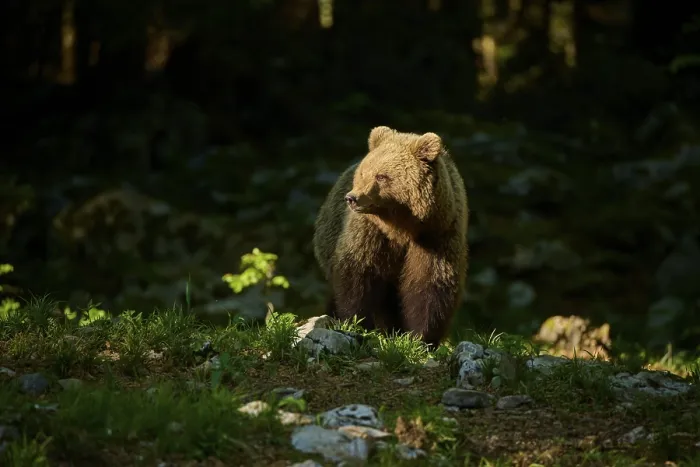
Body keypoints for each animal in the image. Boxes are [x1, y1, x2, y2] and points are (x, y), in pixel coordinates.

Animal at [313, 125, 469, 348]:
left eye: (381, 176)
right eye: (364, 172)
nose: (352, 198)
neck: (403, 227)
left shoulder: (438, 236)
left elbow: (430, 284)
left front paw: (421, 338)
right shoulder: (370, 232)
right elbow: (357, 272)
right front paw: (357, 323)